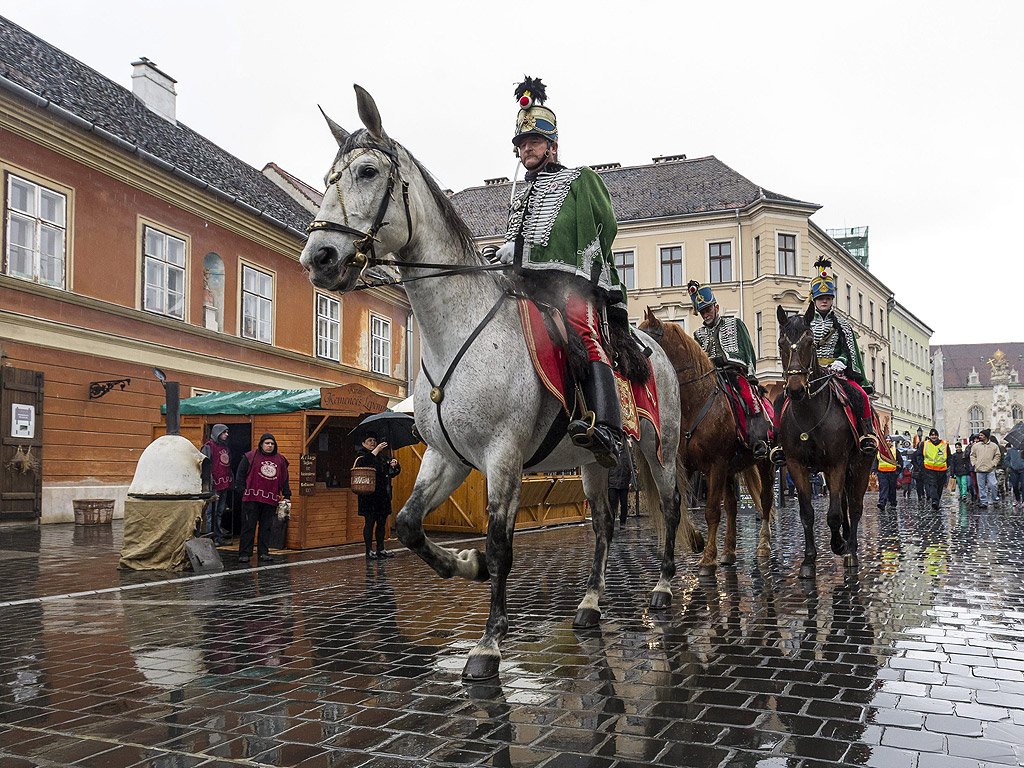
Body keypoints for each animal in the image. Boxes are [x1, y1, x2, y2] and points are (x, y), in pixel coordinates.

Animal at [299, 87, 700, 684]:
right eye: (328, 177)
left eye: (368, 172)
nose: (319, 258)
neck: (458, 330)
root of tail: (655, 349)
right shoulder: (447, 456)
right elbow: (407, 525)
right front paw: (466, 564)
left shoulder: (502, 456)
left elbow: (502, 542)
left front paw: (488, 643)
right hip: (591, 460)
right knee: (604, 524)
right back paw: (590, 603)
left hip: (660, 449)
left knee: (670, 508)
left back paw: (665, 586)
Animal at [638, 309, 774, 573]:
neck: (696, 402)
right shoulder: (688, 466)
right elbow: (680, 506)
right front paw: (697, 541)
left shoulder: (716, 465)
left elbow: (711, 511)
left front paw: (708, 557)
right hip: (732, 470)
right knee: (732, 506)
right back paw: (729, 551)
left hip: (765, 463)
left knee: (764, 500)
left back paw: (763, 544)